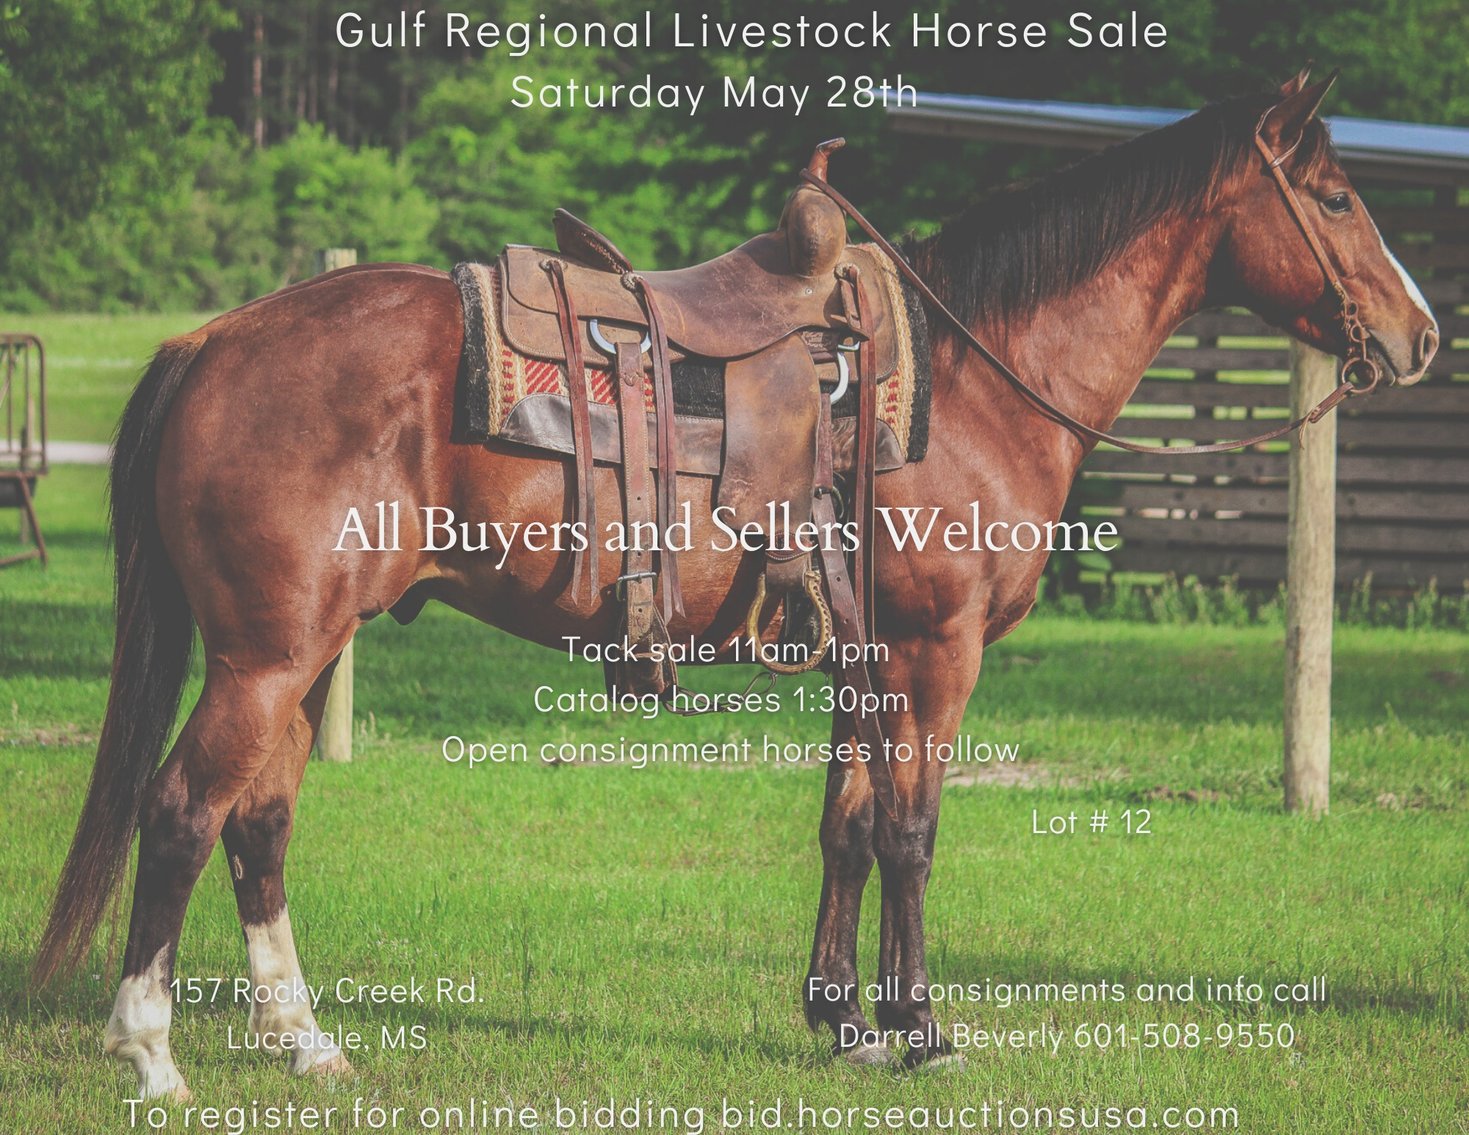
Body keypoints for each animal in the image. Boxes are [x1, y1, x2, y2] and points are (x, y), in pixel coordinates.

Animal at [35, 72, 1437, 1097]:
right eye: (1330, 195)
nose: (1420, 334)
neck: (969, 383)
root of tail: (214, 337)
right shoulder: (935, 652)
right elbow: (913, 832)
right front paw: (921, 1030)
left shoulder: (863, 657)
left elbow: (845, 826)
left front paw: (841, 1020)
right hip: (266, 654)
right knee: (181, 810)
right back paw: (151, 1053)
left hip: (306, 647)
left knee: (258, 821)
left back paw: (304, 1040)